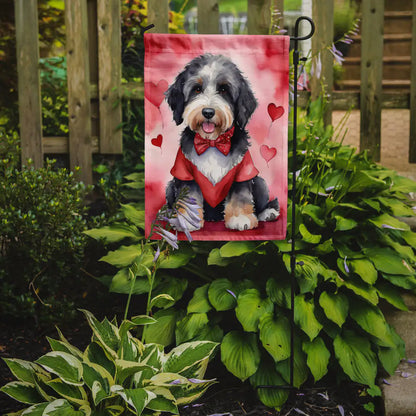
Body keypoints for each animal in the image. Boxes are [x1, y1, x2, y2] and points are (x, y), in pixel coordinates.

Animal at [164, 52, 278, 231]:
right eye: (197, 89)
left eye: (224, 90)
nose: (208, 112)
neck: (213, 143)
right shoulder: (184, 173)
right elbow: (188, 198)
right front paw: (187, 221)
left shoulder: (242, 172)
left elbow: (240, 195)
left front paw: (240, 218)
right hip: (169, 186)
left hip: (260, 183)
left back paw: (268, 212)